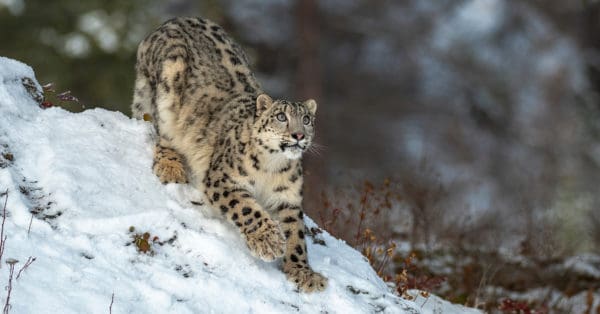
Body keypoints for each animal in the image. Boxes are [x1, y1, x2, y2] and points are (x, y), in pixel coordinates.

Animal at [131, 17, 328, 292]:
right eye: (281, 117)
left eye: (307, 119)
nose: (299, 135)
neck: (272, 167)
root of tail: (172, 21)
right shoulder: (222, 179)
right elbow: (247, 208)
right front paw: (269, 242)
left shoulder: (287, 198)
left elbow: (296, 234)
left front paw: (302, 272)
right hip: (168, 86)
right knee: (161, 131)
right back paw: (171, 167)